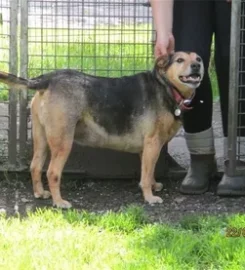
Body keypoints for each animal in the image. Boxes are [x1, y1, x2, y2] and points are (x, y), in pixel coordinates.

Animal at [0, 51, 204, 208]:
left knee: (35, 166)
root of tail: (47, 79)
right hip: (63, 141)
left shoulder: (146, 149)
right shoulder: (152, 143)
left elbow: (149, 171)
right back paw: (59, 202)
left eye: (198, 58)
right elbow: (145, 176)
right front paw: (149, 197)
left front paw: (153, 186)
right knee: (52, 172)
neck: (166, 86)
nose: (196, 65)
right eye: (179, 60)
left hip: (41, 137)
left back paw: (40, 193)